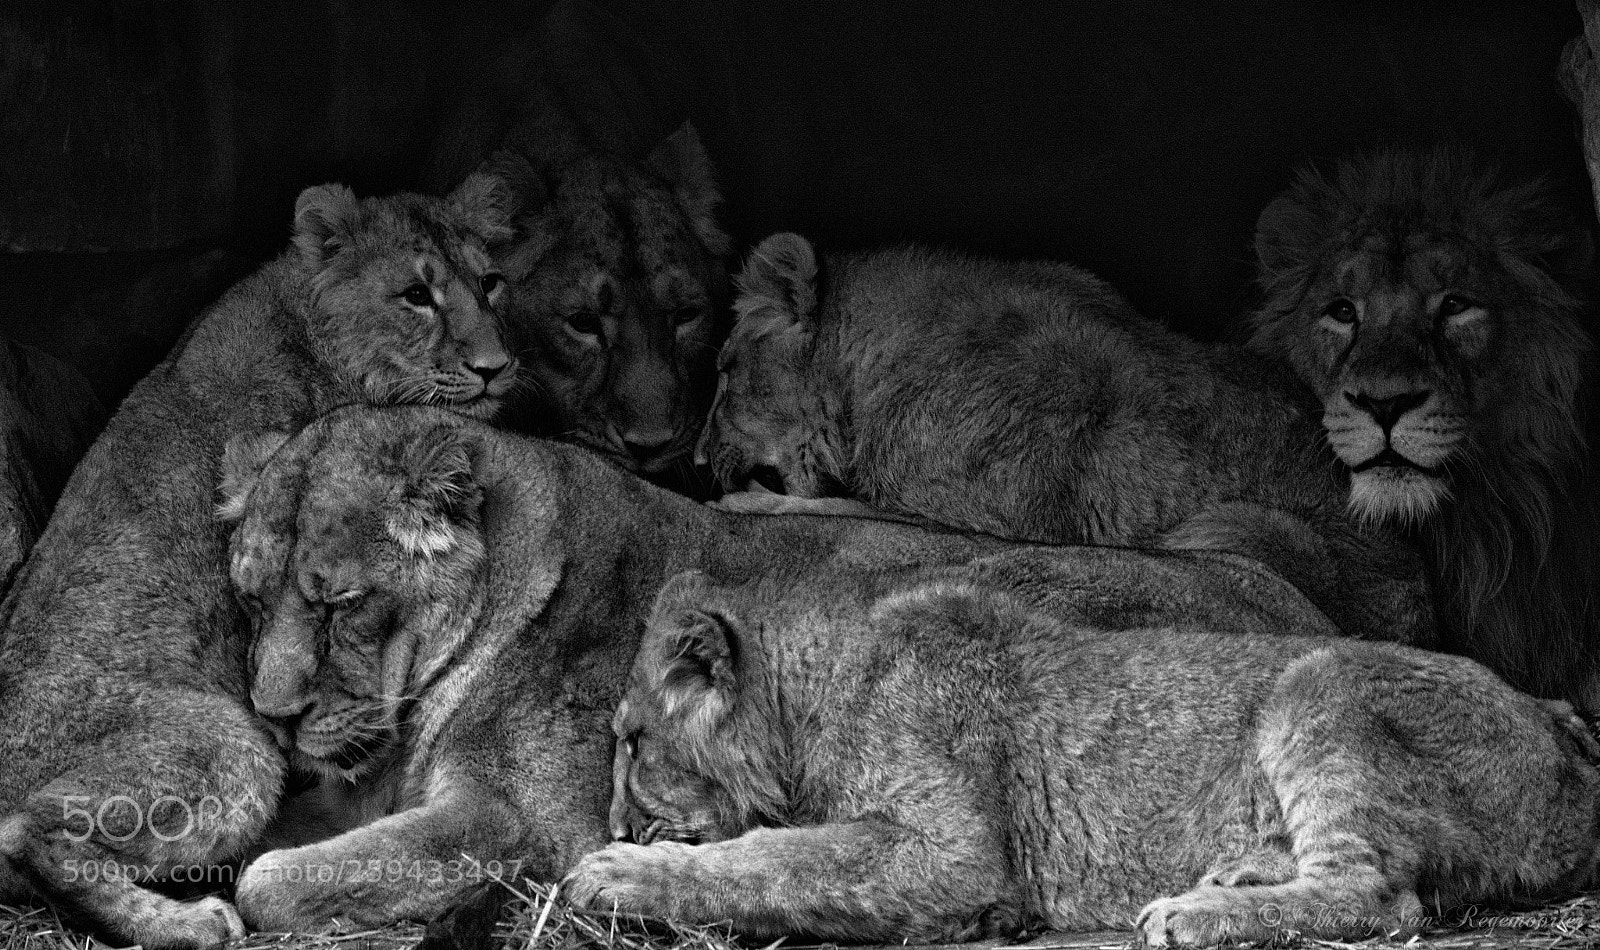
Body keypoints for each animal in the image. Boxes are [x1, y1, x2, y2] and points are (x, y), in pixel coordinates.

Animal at [0, 174, 520, 949]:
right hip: (231, 744)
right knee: (30, 834)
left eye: (490, 283)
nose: (495, 368)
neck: (307, 323)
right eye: (415, 295)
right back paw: (193, 923)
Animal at [208, 405, 1345, 934]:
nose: (272, 714)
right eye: (253, 599)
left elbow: (274, 882)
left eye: (339, 601)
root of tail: (1300, 605)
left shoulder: (521, 820)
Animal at [566, 563, 1600, 946]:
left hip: (1322, 683)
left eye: (631, 745)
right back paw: (1235, 873)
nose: (610, 816)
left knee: (1381, 896)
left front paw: (615, 873)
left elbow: (776, 860)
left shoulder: (954, 849)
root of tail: (1562, 720)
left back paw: (1193, 914)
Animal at [698, 232, 1434, 644]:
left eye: (726, 371)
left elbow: (842, 509)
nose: (701, 460)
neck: (865, 371)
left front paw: (744, 504)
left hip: (1236, 527)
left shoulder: (983, 517)